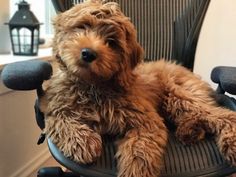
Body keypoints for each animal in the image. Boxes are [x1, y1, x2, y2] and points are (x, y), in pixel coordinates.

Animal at [40, 0, 236, 176]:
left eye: (111, 42)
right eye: (82, 26)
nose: (88, 53)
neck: (93, 85)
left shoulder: (146, 120)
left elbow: (140, 150)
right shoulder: (56, 107)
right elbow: (60, 121)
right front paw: (83, 142)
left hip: (178, 95)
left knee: (222, 115)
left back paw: (229, 142)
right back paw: (190, 131)